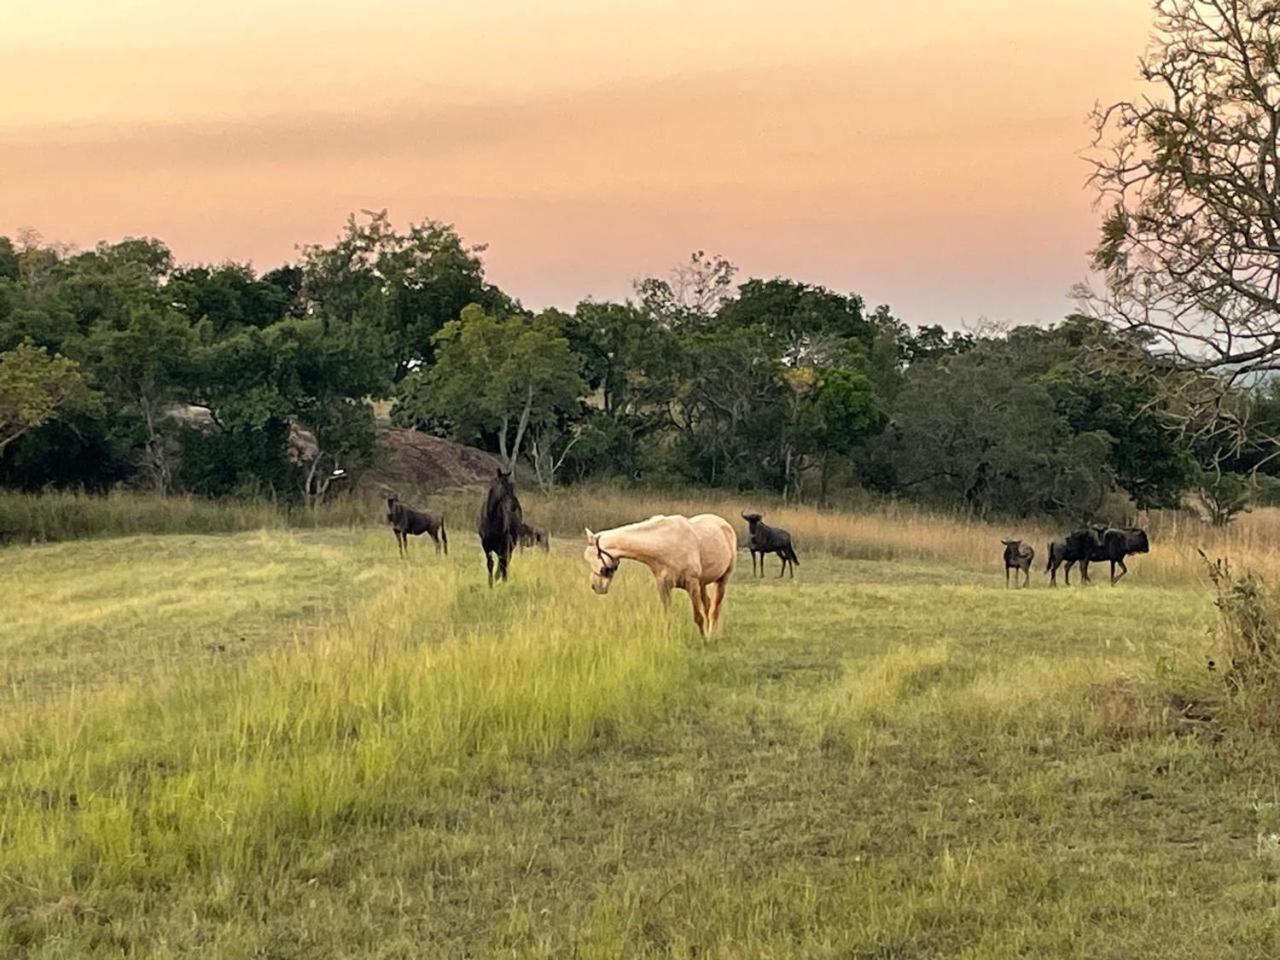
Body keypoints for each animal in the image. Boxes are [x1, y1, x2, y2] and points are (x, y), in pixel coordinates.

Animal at [586, 514, 737, 642]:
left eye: (596, 558)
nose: (596, 587)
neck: (666, 544)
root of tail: (724, 524)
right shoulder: (663, 586)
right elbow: (667, 616)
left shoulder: (692, 584)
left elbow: (698, 617)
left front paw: (704, 640)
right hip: (703, 584)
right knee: (708, 606)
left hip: (721, 580)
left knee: (713, 610)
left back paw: (711, 635)